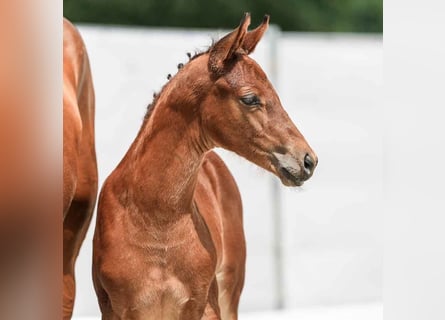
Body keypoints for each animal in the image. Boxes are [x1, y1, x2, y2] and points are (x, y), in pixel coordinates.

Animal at [93, 13, 316, 320]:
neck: (156, 222)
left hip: (230, 290)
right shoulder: (119, 310)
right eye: (250, 98)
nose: (308, 160)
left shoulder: (204, 305)